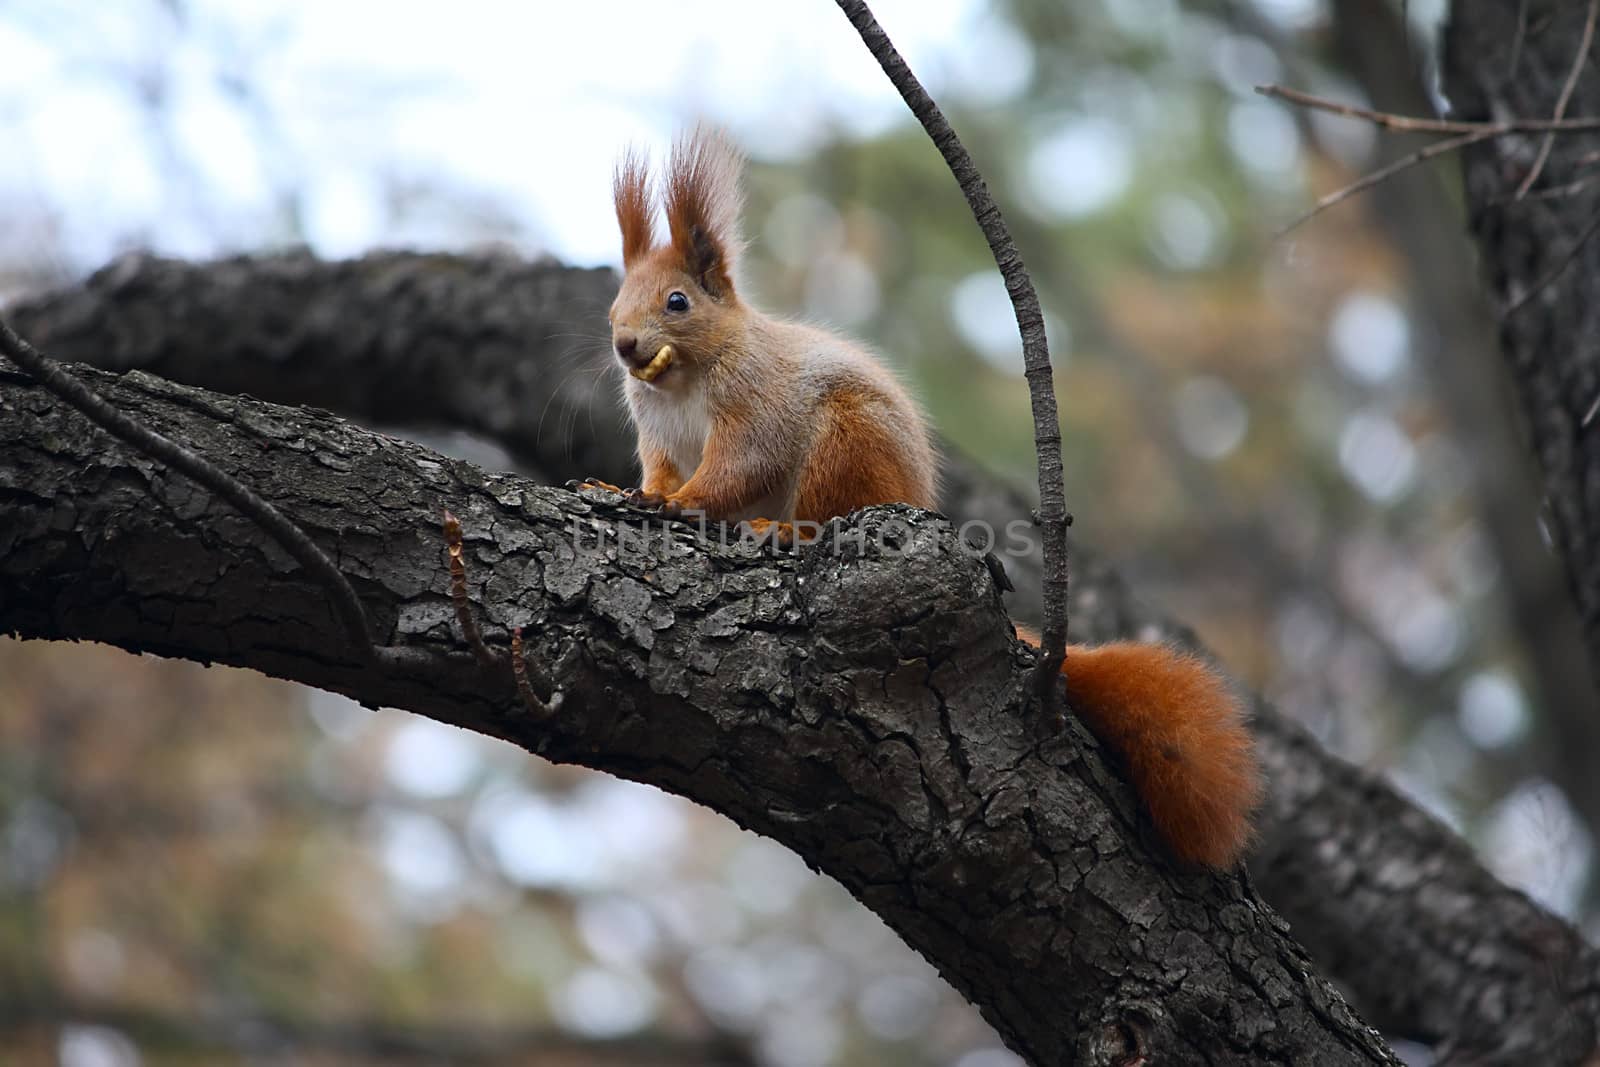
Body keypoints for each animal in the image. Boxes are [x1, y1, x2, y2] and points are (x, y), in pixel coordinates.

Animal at [595, 129, 1254, 870]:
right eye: (614, 305)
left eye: (678, 302)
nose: (625, 346)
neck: (681, 381)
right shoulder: (658, 436)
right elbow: (657, 472)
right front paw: (625, 491)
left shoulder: (753, 404)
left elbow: (739, 466)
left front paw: (683, 505)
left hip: (846, 445)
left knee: (823, 511)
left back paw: (785, 531)